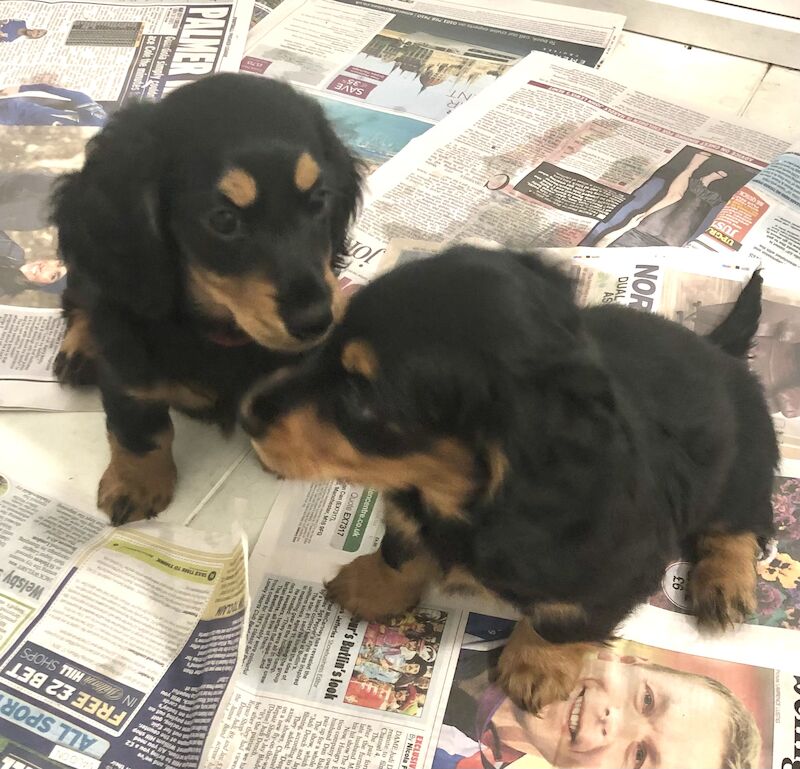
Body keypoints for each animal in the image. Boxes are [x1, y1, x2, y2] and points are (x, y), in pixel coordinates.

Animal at [241, 246, 780, 708]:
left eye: (361, 397)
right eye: (326, 342)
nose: (245, 416)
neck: (451, 496)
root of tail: (720, 350)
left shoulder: (620, 571)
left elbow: (565, 619)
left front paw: (536, 665)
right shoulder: (409, 513)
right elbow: (400, 548)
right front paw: (368, 584)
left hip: (743, 468)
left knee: (742, 522)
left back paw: (724, 584)